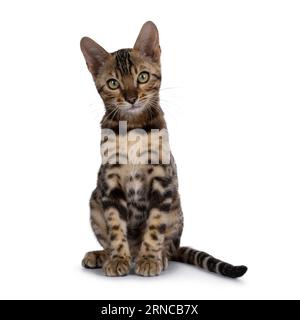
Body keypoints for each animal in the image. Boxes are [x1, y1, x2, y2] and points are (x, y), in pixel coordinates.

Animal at [79, 21, 246, 276]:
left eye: (143, 76)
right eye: (113, 83)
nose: (131, 98)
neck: (133, 128)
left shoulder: (162, 179)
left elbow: (155, 226)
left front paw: (149, 258)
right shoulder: (110, 182)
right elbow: (115, 227)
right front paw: (117, 258)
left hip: (176, 205)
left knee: (170, 244)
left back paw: (158, 257)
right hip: (95, 199)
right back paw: (103, 255)